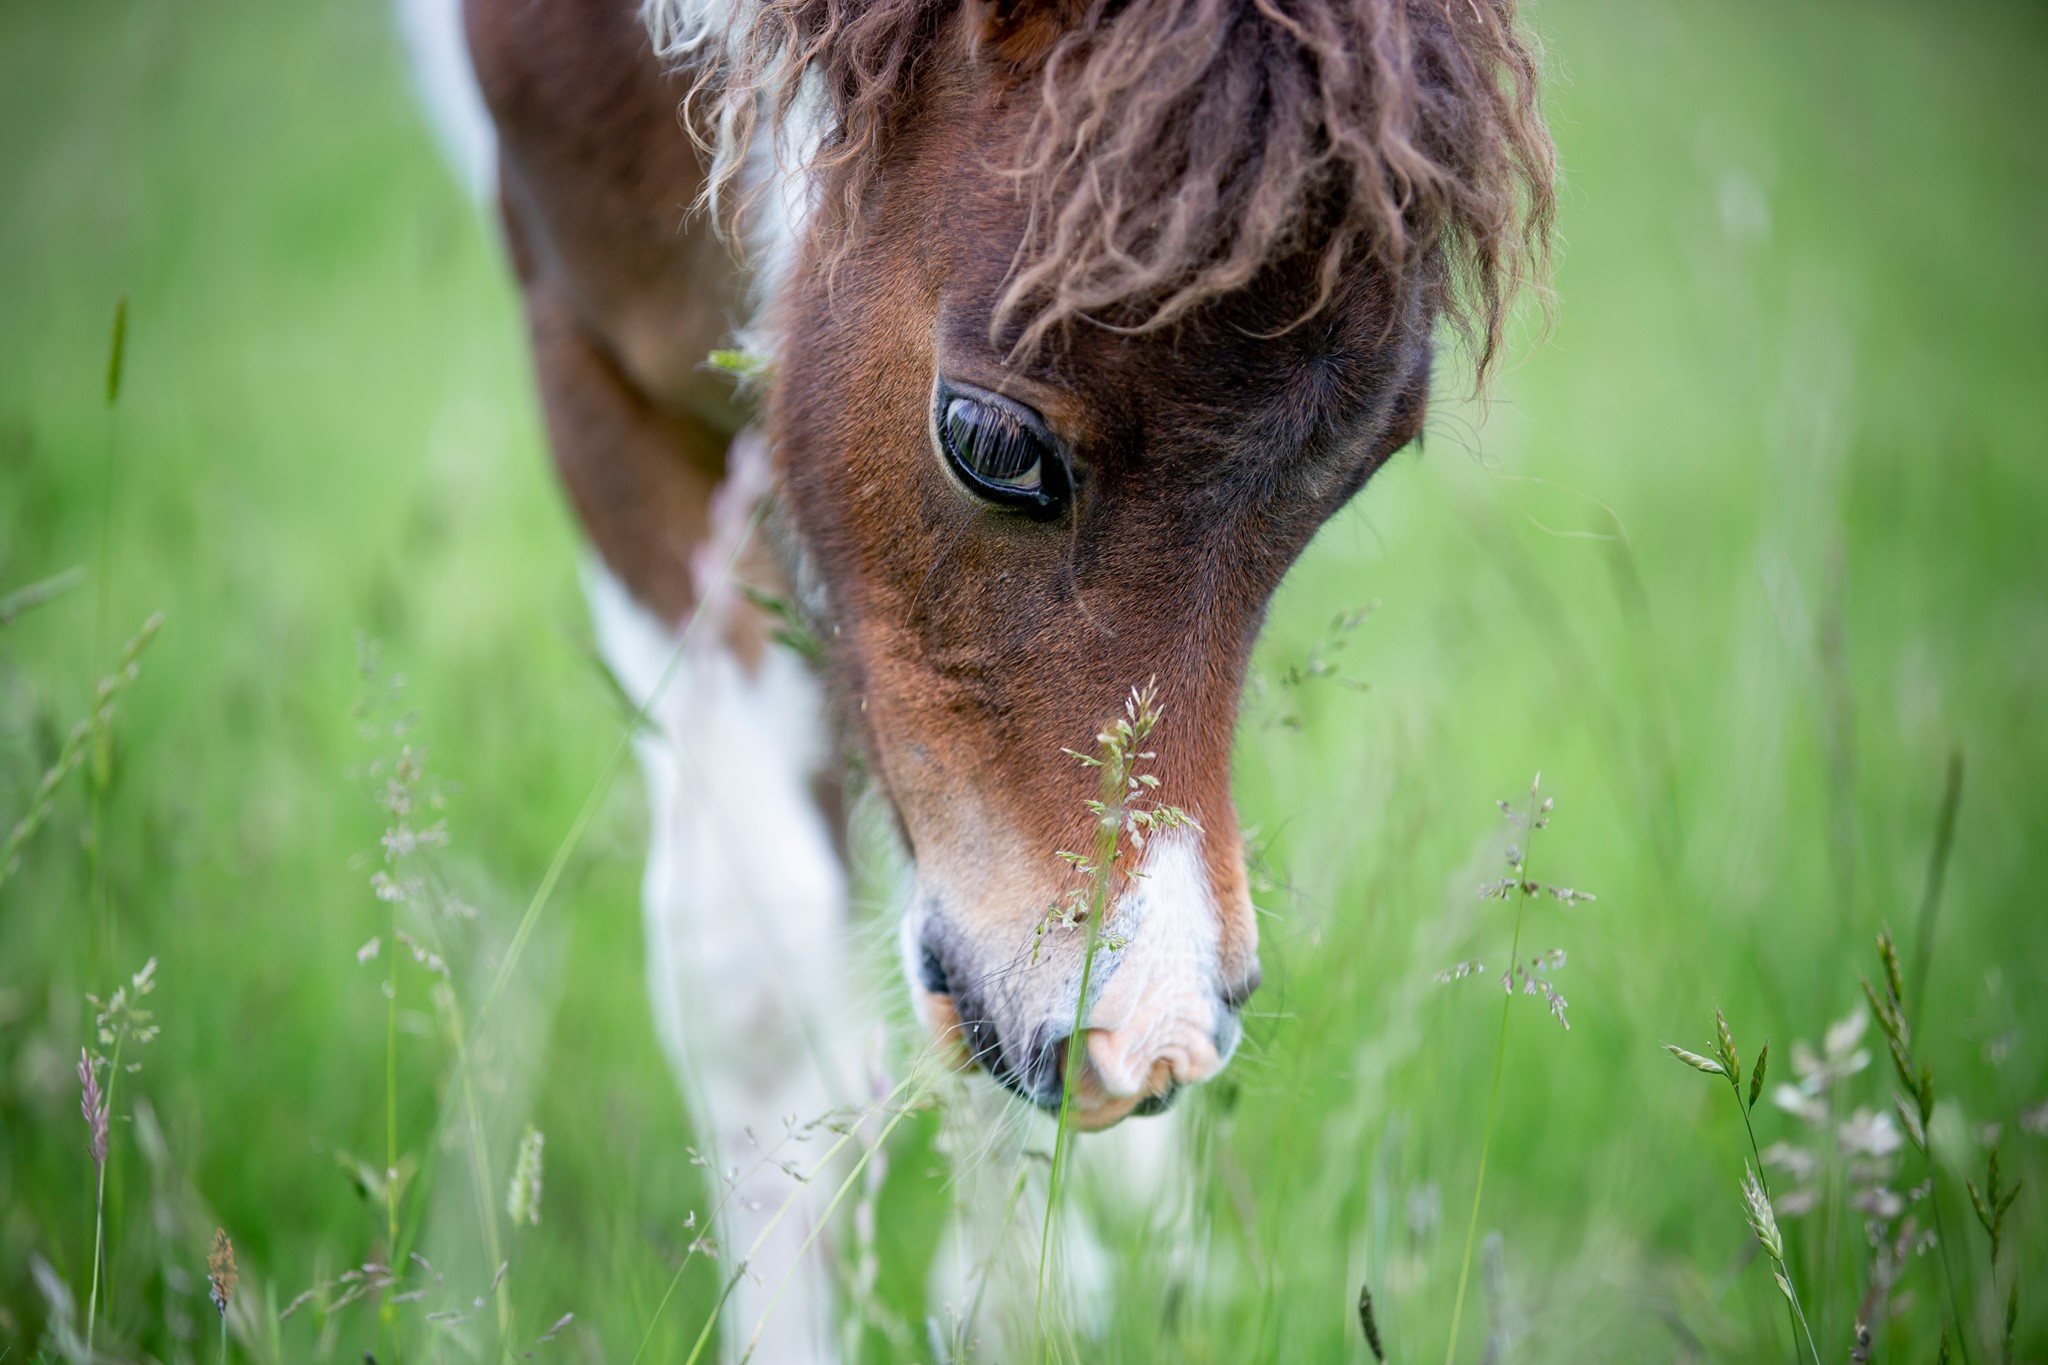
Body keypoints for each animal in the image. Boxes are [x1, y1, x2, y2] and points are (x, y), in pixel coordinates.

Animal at [403, 0, 1551, 1352]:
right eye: (991, 442)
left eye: (1355, 472)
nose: (1159, 1033)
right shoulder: (596, 369)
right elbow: (750, 970)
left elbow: (975, 981)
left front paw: (1020, 1307)